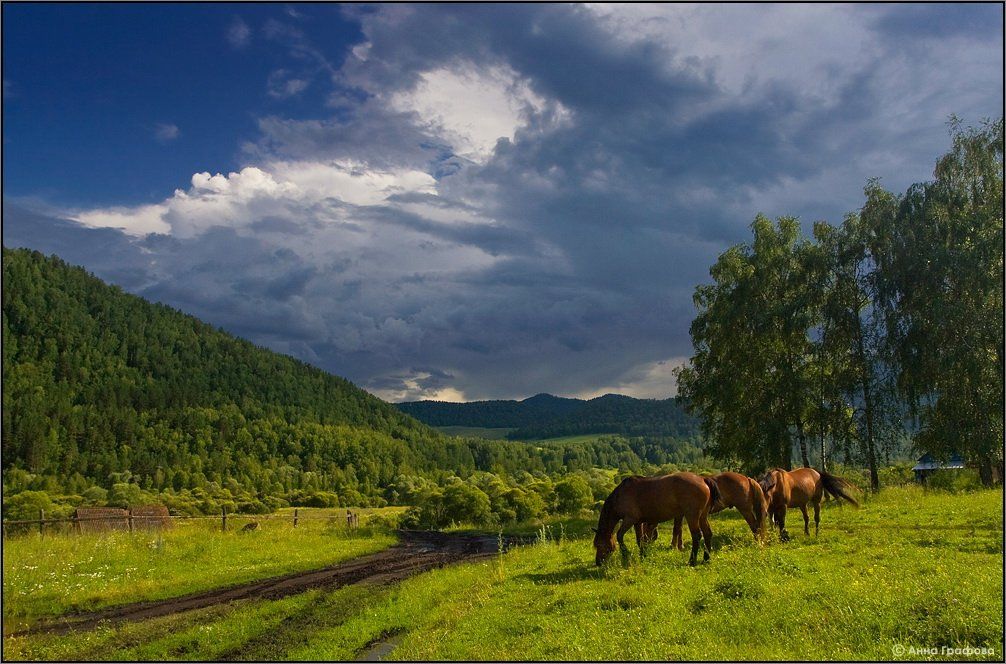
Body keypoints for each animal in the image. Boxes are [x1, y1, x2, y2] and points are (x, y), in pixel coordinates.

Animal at [591, 472, 720, 567]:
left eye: (600, 544)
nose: (598, 563)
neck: (621, 495)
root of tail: (703, 479)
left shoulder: (629, 520)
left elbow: (619, 536)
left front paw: (626, 554)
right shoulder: (638, 522)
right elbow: (640, 540)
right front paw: (643, 555)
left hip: (692, 516)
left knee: (697, 536)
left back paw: (692, 561)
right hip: (702, 516)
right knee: (707, 533)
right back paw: (706, 559)